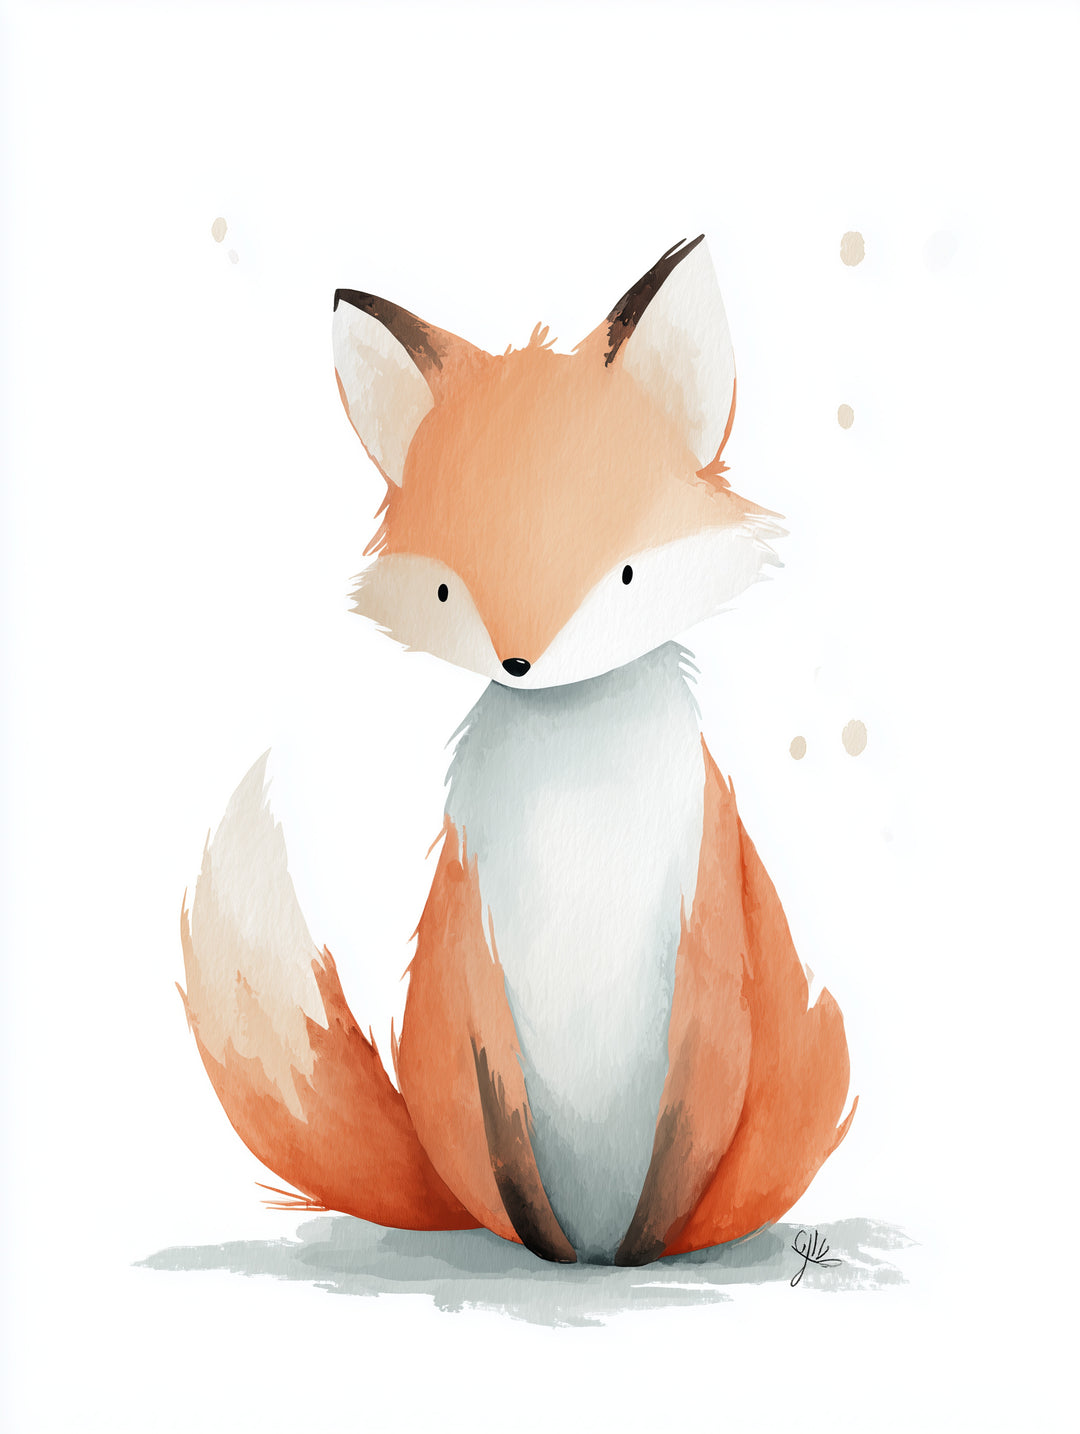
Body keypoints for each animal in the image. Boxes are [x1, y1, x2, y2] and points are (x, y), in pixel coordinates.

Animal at [179, 235, 855, 1266]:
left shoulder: (709, 923)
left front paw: (644, 1254)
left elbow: (687, 1122)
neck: (582, 798)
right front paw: (552, 1250)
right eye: (451, 591)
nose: (520, 663)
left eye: (625, 574)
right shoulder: (473, 929)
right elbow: (506, 1121)